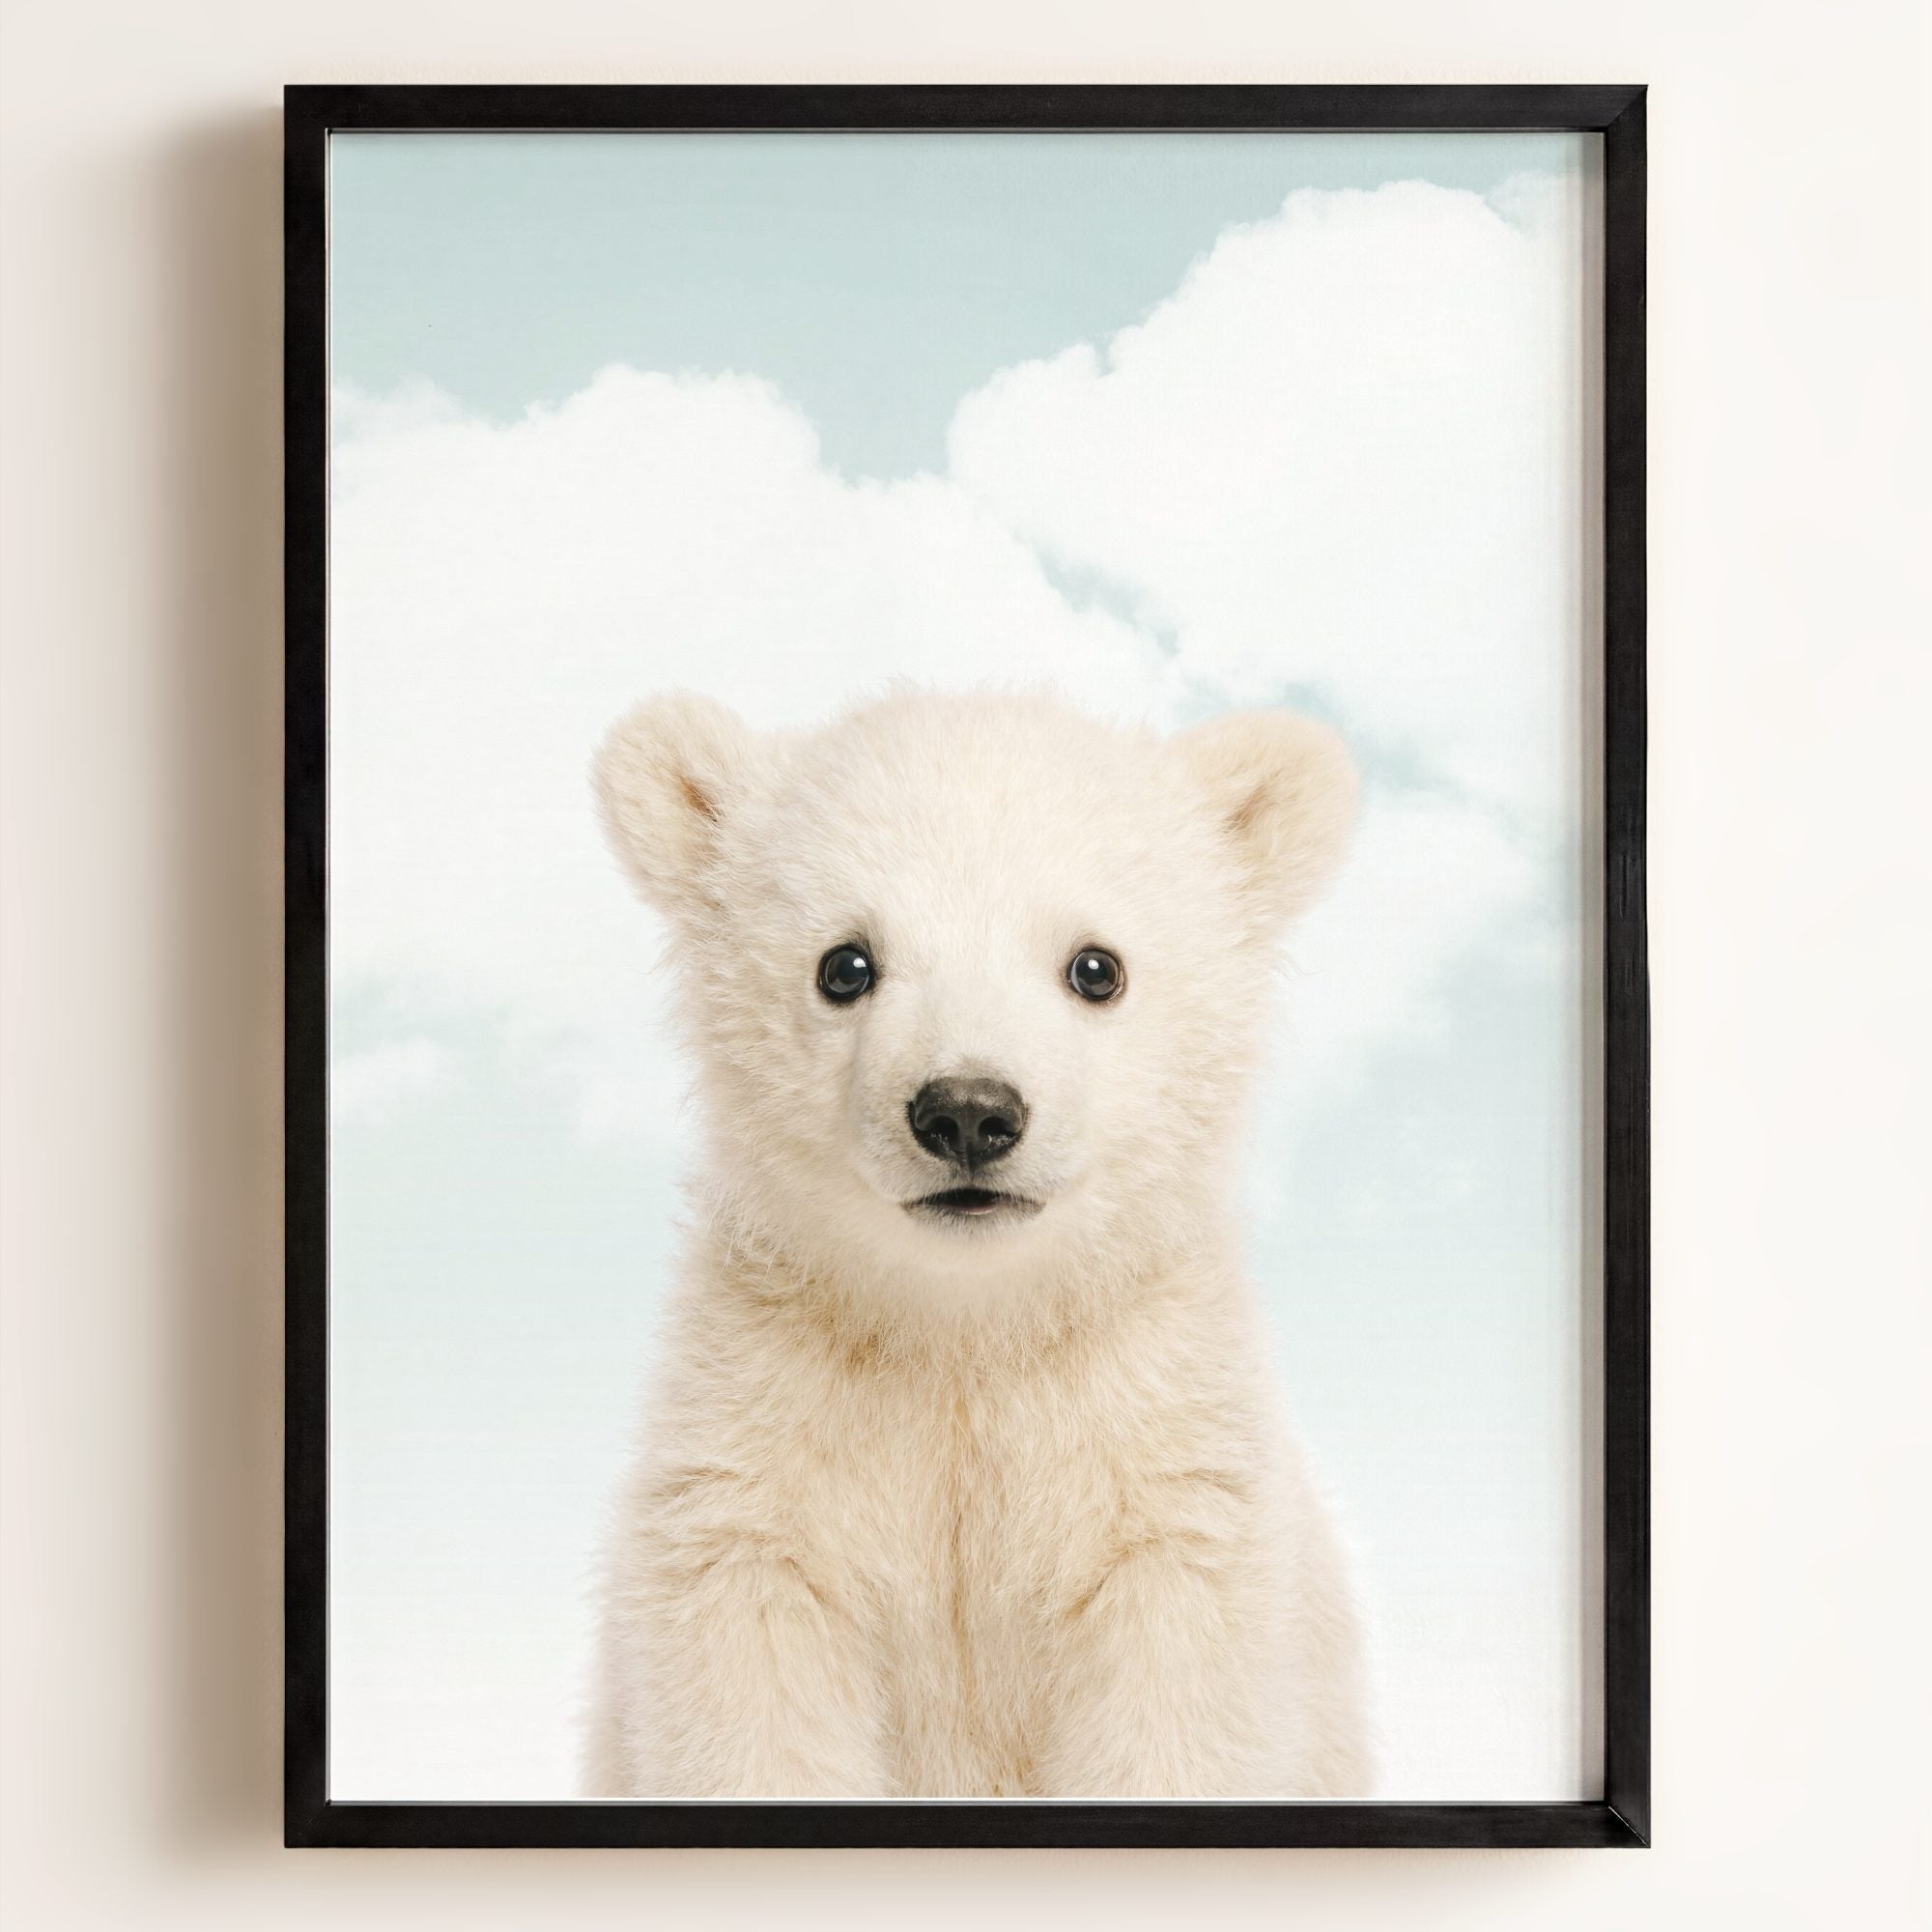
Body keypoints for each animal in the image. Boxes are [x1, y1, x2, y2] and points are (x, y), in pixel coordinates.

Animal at [581, 686, 1371, 1799]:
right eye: (844, 964)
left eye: (1095, 967)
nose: (966, 1111)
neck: (966, 1328)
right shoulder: (760, 1458)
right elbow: (753, 1699)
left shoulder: (1161, 1471)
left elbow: (1175, 1714)